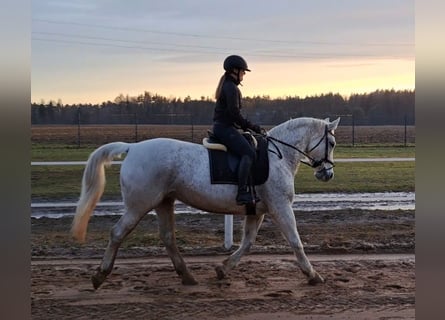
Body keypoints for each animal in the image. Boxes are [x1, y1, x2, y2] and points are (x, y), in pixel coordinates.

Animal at [71, 116, 338, 288]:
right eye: (332, 143)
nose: (327, 174)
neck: (277, 156)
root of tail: (133, 147)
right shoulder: (280, 207)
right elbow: (295, 241)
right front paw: (313, 275)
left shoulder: (257, 211)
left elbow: (248, 243)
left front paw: (223, 269)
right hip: (139, 206)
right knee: (117, 233)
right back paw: (100, 275)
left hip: (163, 202)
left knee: (168, 238)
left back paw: (187, 276)